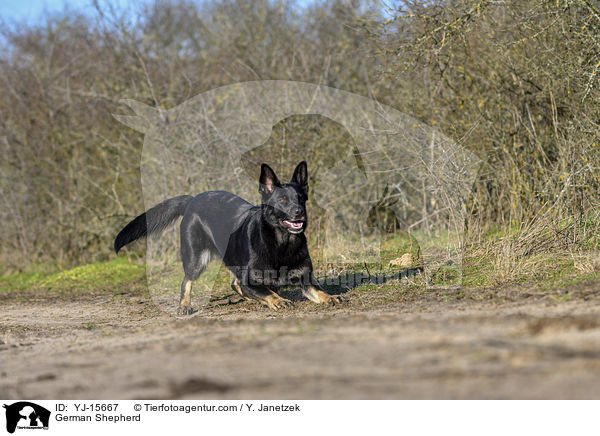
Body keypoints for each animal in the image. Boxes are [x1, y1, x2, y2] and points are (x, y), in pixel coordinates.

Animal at [114, 160, 344, 314]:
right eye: (282, 200)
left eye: (301, 198)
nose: (299, 212)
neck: (281, 243)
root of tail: (193, 200)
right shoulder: (250, 279)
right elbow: (265, 291)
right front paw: (276, 300)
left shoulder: (307, 280)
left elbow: (319, 292)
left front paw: (330, 296)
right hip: (197, 258)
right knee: (188, 280)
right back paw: (185, 305)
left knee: (234, 284)